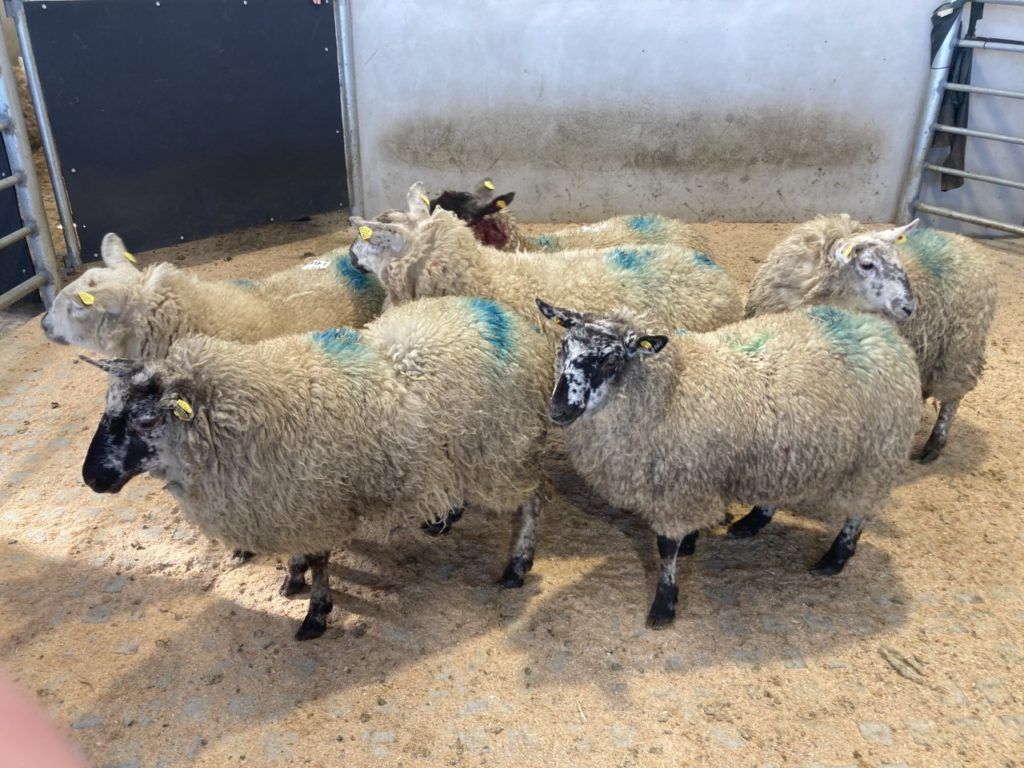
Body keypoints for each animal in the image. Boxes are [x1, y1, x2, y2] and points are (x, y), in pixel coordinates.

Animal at [80, 296, 551, 640]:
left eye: (146, 421)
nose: (91, 477)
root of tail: (506, 317)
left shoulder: (314, 501)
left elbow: (322, 559)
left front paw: (316, 612)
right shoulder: (289, 501)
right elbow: (302, 552)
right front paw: (293, 576)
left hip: (505, 449)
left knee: (532, 500)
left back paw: (516, 566)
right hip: (456, 451)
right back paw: (446, 517)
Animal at [535, 299, 921, 629]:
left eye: (610, 362)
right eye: (564, 348)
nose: (559, 410)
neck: (672, 387)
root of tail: (879, 328)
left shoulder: (678, 487)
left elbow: (666, 549)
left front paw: (664, 604)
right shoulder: (693, 480)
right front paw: (693, 542)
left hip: (874, 457)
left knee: (858, 512)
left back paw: (835, 558)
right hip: (782, 452)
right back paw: (752, 521)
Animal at [744, 214, 997, 465]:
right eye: (867, 264)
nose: (910, 307)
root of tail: (963, 241)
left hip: (959, 352)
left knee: (952, 399)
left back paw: (934, 444)